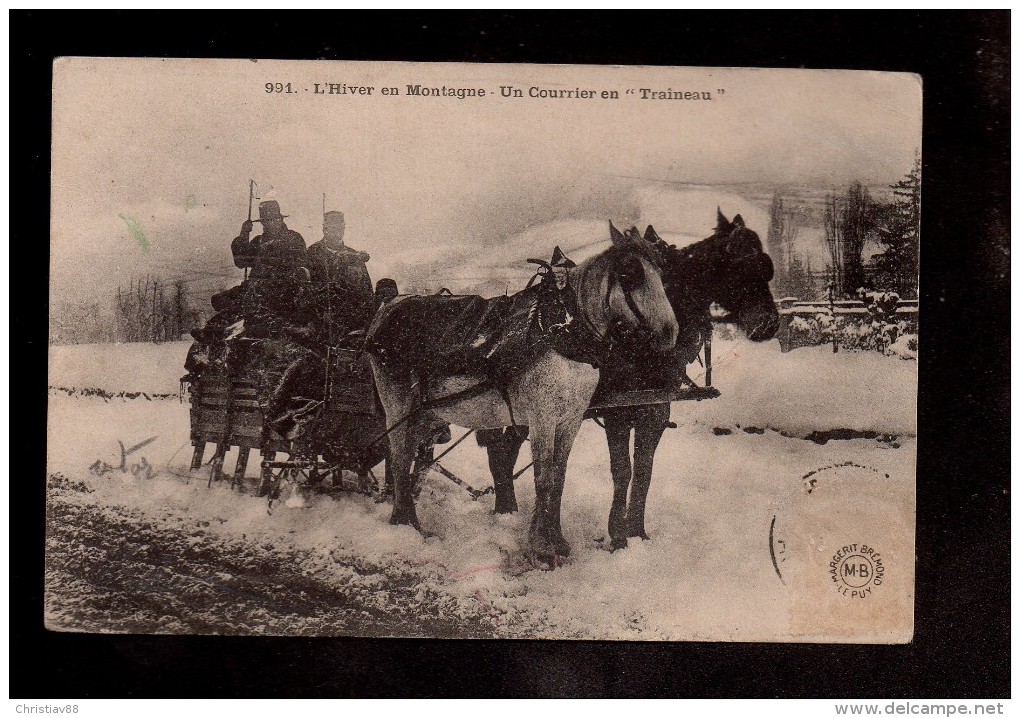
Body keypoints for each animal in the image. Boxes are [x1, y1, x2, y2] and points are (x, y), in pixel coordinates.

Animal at [481, 208, 775, 550]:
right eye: (744, 267)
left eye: (766, 266)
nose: (769, 324)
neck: (638, 343)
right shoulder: (618, 413)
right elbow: (623, 470)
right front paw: (618, 534)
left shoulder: (656, 410)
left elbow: (644, 471)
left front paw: (637, 531)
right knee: (500, 448)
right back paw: (505, 508)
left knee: (506, 448)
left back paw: (508, 505)